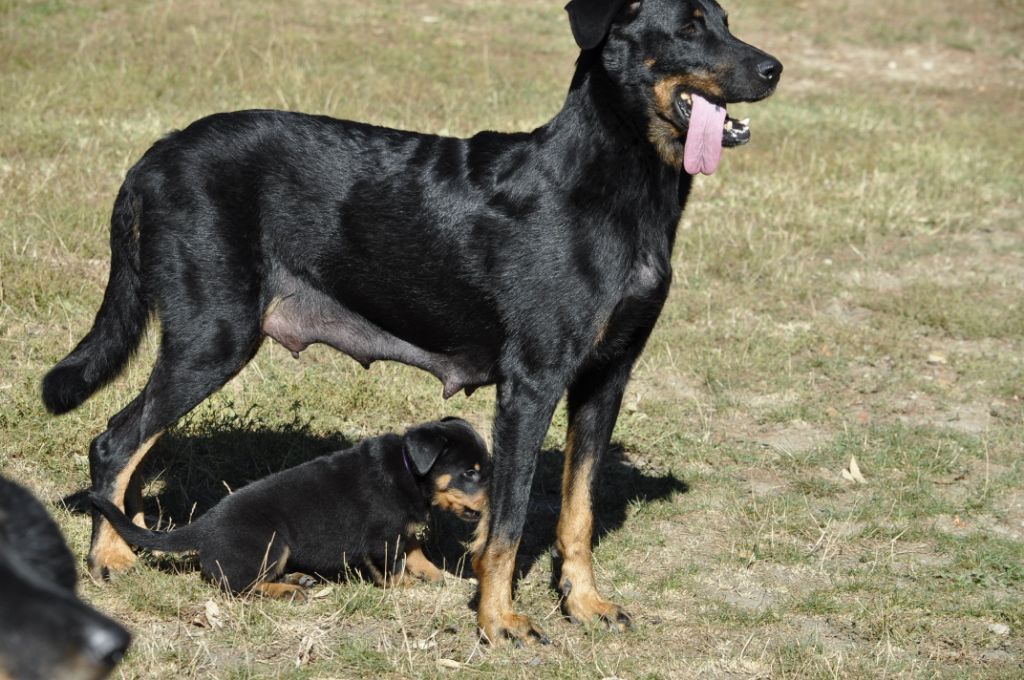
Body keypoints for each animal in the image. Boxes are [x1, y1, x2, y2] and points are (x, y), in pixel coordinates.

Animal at [88, 417, 487, 598]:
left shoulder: (402, 531)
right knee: (239, 586)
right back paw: (287, 590)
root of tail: (202, 525)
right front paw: (406, 587)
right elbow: (393, 567)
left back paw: (297, 579)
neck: (410, 469)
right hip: (272, 542)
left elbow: (417, 552)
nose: (491, 507)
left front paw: (440, 576)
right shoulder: (383, 537)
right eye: (470, 472)